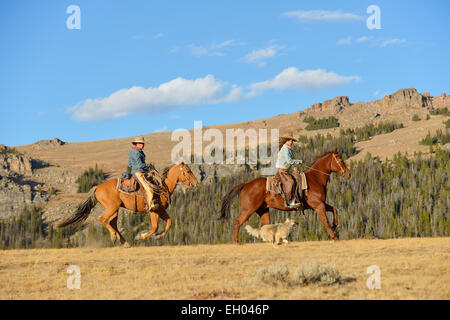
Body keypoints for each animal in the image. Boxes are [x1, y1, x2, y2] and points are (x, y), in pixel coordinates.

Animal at [56, 162, 197, 248]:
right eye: (188, 171)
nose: (195, 183)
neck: (161, 186)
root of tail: (97, 188)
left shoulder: (161, 210)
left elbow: (169, 223)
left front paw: (158, 236)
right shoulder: (153, 211)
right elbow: (155, 227)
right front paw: (140, 236)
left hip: (115, 210)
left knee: (112, 223)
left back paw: (124, 242)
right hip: (111, 208)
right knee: (103, 219)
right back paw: (114, 237)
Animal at [218, 149, 352, 244]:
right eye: (340, 161)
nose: (348, 174)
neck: (315, 179)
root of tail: (246, 185)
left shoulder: (321, 204)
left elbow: (334, 209)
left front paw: (335, 225)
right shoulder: (318, 206)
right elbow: (325, 221)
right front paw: (334, 237)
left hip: (263, 210)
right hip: (249, 209)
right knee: (237, 222)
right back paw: (236, 242)